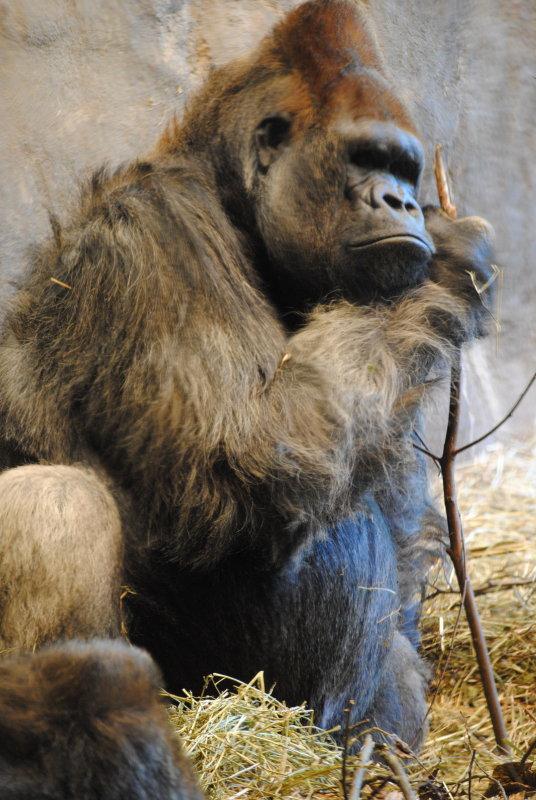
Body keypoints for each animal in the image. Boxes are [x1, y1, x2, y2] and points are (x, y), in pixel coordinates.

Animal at [0, 0, 495, 790]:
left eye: (405, 170)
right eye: (367, 159)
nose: (404, 202)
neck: (231, 201)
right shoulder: (153, 229)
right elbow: (243, 460)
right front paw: (452, 264)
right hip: (200, 693)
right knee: (55, 505)